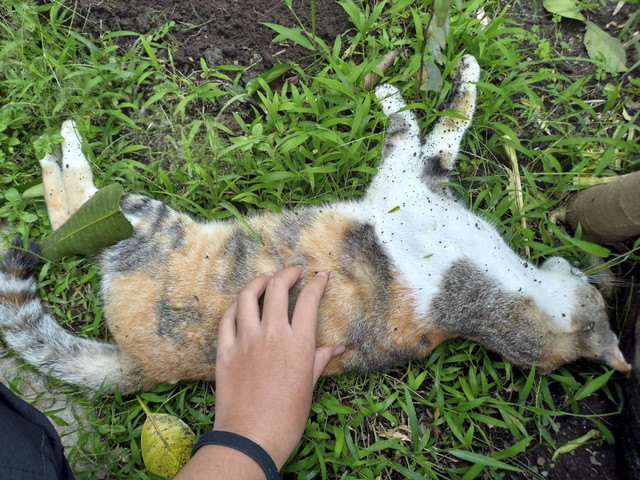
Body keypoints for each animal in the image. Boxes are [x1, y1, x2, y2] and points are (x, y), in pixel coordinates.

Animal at [0, 56, 632, 394]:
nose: (568, 259)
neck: (491, 302)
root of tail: (143, 369)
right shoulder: (419, 183)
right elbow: (445, 130)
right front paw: (446, 75)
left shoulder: (402, 188)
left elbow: (424, 125)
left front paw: (397, 90)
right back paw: (55, 151)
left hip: (142, 222)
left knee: (78, 215)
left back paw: (64, 146)